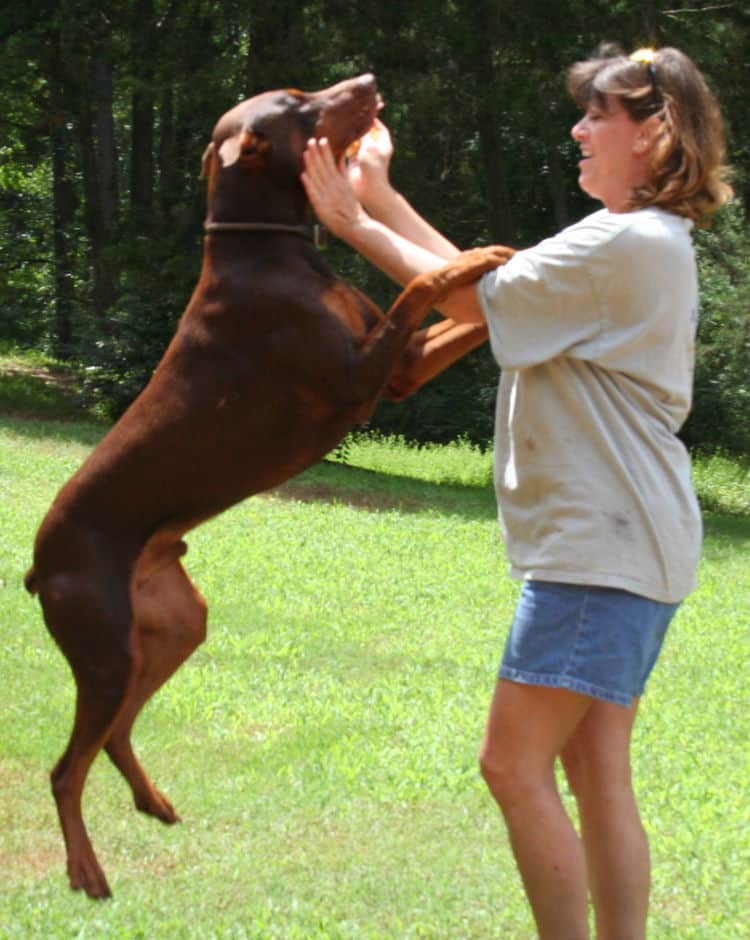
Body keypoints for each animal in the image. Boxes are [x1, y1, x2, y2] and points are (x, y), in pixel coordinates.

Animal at [26, 71, 516, 896]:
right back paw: (86, 871)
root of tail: (37, 565)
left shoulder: (400, 370)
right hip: (102, 645)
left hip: (173, 625)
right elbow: (423, 282)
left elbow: (461, 320)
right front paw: (478, 252)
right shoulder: (360, 382)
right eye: (298, 103)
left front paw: (500, 260)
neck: (270, 252)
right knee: (66, 768)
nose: (369, 81)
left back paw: (153, 803)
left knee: (116, 733)